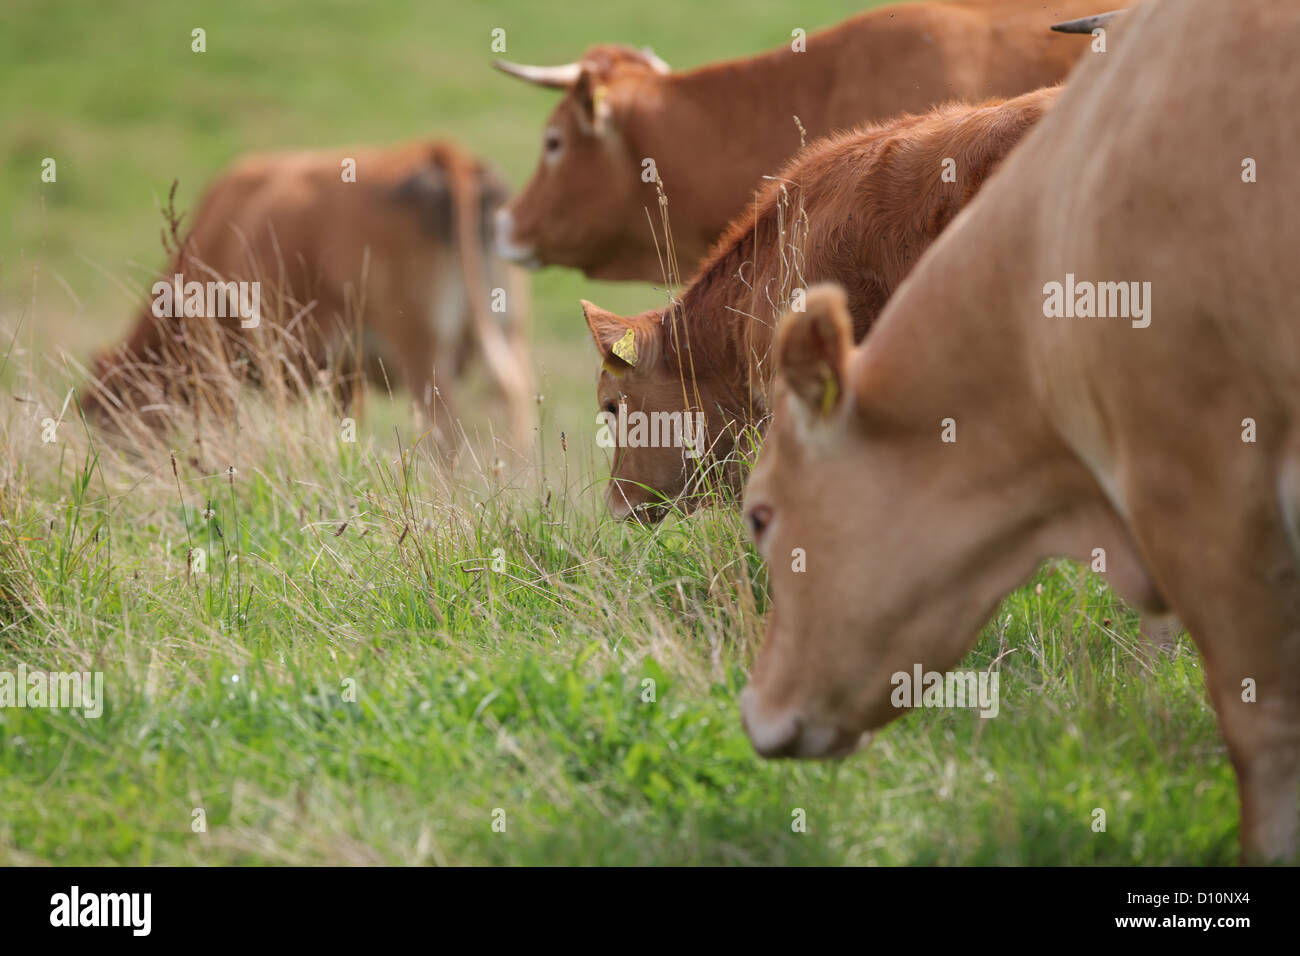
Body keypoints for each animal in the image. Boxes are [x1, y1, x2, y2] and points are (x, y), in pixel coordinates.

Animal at [86, 139, 535, 455]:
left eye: (110, 420)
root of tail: (438, 148)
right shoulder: (344, 372)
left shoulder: (219, 363)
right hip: (506, 324)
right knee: (515, 400)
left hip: (422, 350)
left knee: (446, 435)